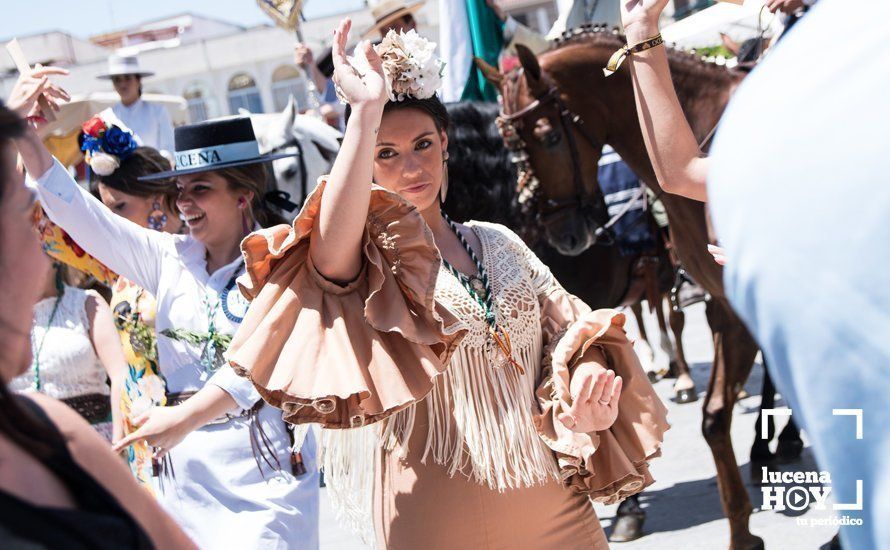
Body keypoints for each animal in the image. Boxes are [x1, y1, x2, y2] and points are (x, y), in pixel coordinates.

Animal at [478, 28, 784, 550]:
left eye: (550, 137)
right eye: (506, 145)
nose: (564, 235)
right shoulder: (725, 306)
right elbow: (713, 416)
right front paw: (742, 530)